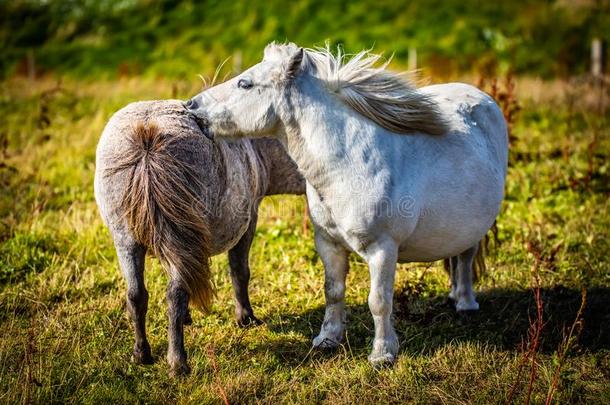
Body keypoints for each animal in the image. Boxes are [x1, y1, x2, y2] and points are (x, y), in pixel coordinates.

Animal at [183, 42, 506, 364]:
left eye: (245, 83)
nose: (191, 106)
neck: (350, 165)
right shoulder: (329, 244)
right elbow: (333, 291)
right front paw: (328, 338)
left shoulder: (382, 250)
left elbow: (379, 301)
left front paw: (382, 354)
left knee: (466, 256)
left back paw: (465, 304)